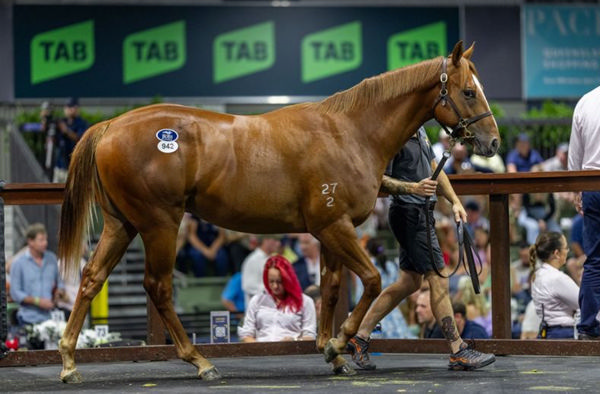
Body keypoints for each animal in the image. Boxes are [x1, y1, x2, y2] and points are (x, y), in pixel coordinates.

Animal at [57, 42, 496, 382]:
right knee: (158, 287)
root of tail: (110, 126)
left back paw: (68, 361)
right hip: (159, 224)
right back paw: (200, 363)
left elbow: (331, 289)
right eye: (468, 92)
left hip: (122, 224)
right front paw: (338, 344)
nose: (492, 142)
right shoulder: (334, 228)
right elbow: (371, 281)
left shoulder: (331, 230)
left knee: (92, 278)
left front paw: (334, 354)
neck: (349, 132)